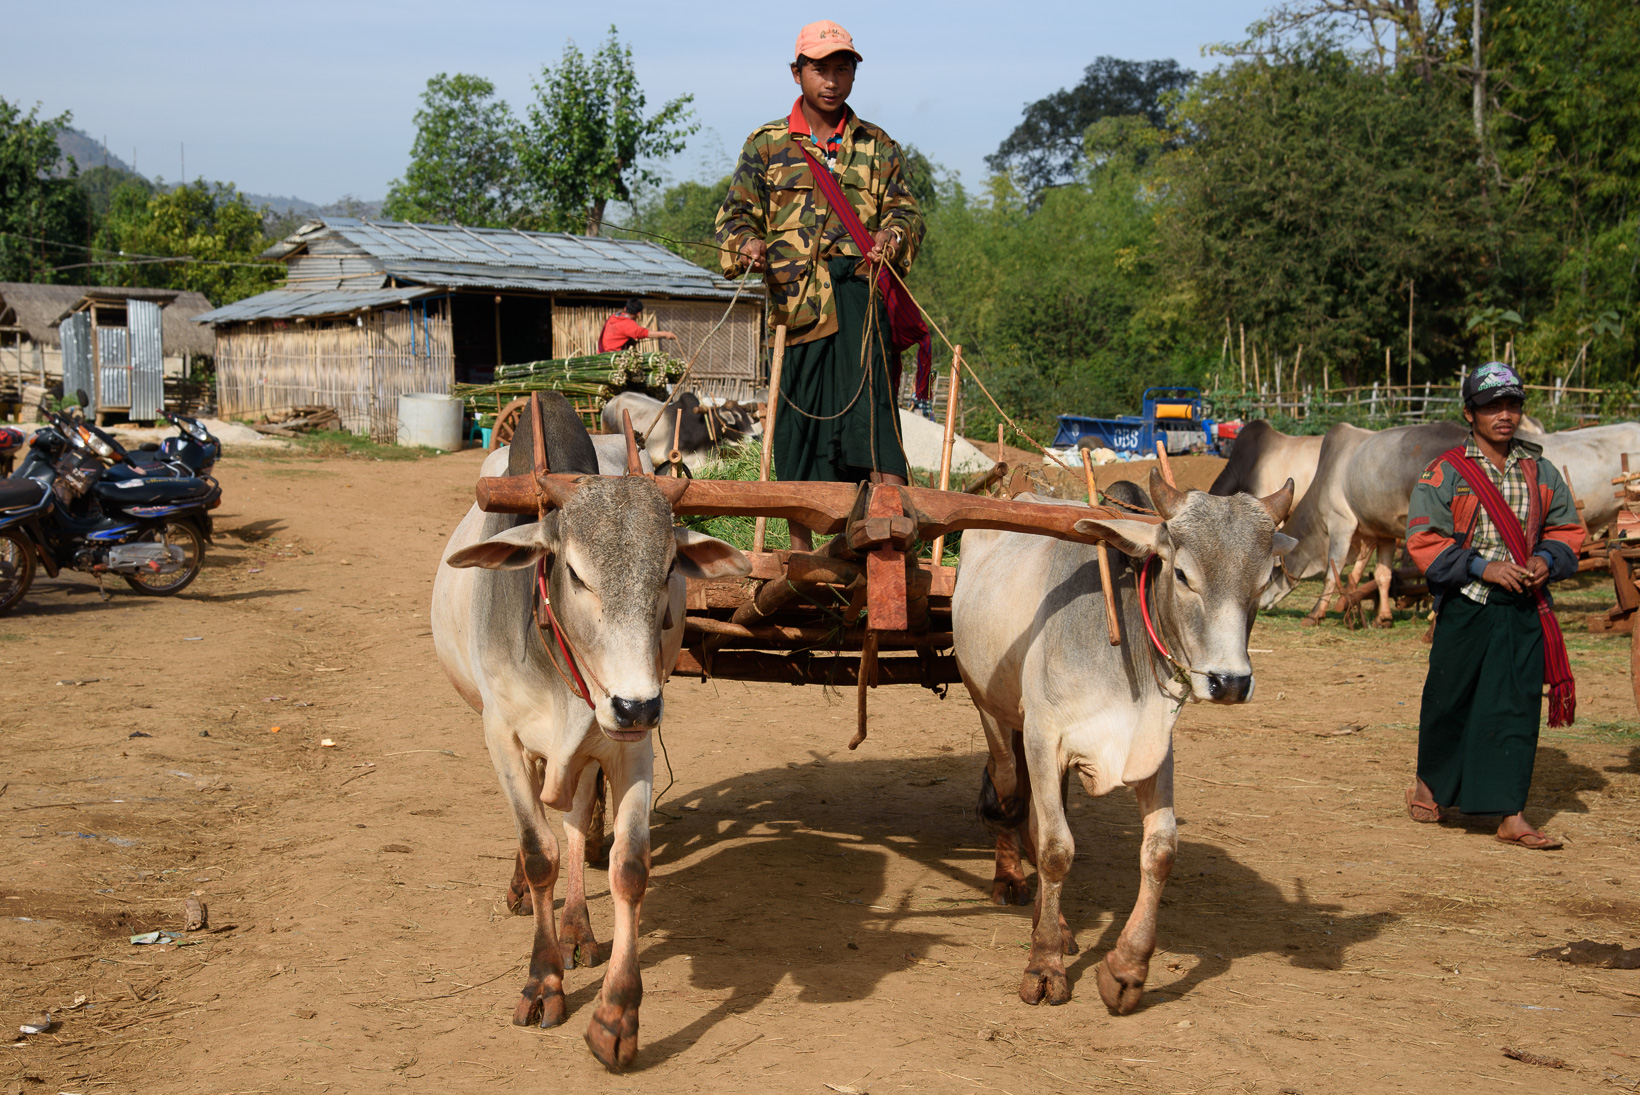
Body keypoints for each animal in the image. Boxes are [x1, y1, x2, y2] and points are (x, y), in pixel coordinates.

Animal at [952, 469, 1295, 1012]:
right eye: (1183, 575)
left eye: (1263, 583)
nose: (1229, 683)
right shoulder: (1043, 737)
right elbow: (1055, 849)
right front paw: (1045, 965)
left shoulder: (1155, 747)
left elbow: (1160, 850)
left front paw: (1126, 970)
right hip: (993, 711)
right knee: (1008, 794)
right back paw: (1011, 880)